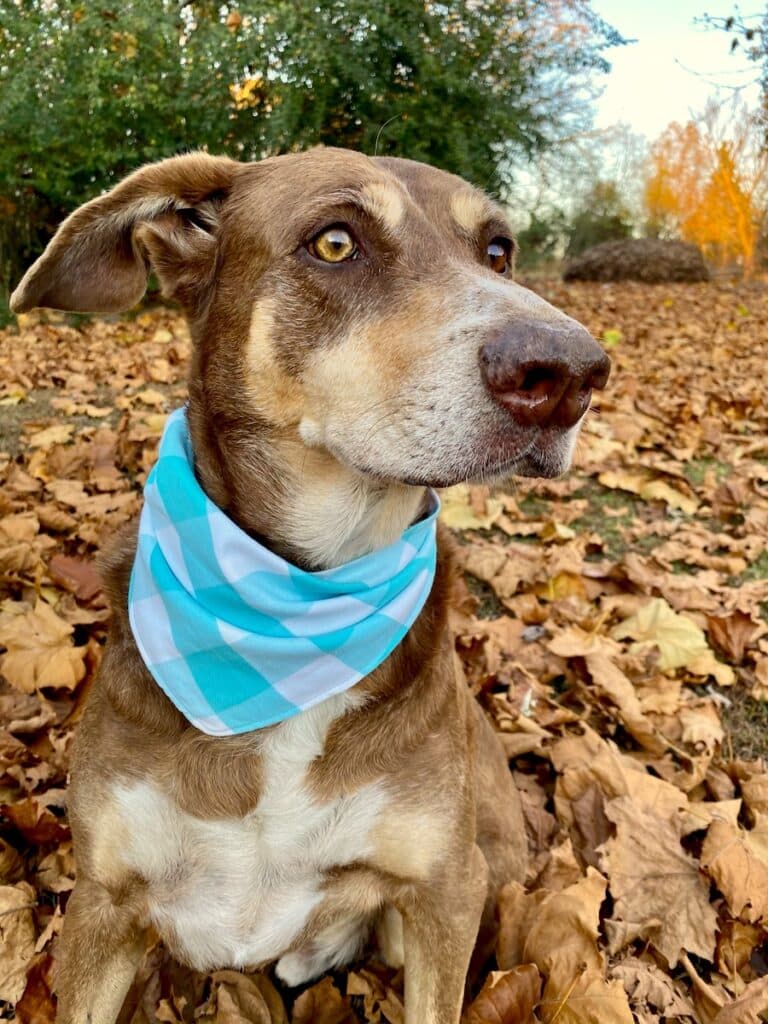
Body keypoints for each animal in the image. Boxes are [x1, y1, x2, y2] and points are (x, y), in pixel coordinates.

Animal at [12, 149, 610, 1024]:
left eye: (498, 252)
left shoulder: (445, 890)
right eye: (334, 242)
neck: (298, 612)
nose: (571, 370)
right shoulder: (103, 902)